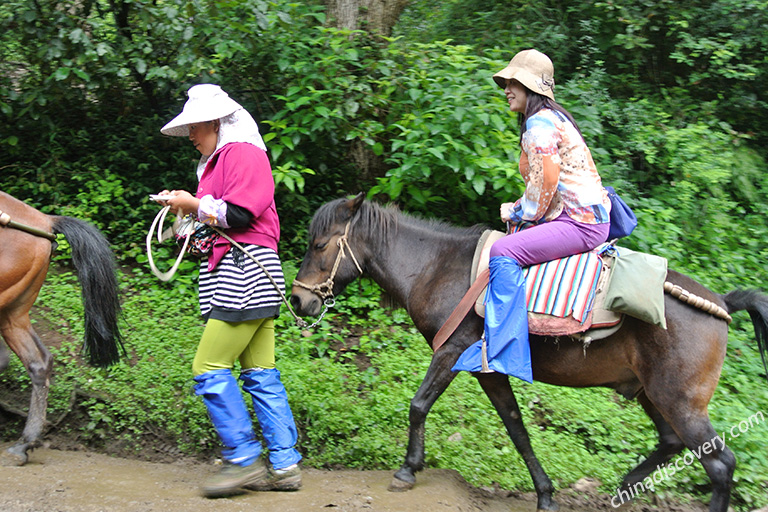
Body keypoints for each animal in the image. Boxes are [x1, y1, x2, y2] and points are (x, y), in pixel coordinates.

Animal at [292, 195, 768, 512]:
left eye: (320, 246)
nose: (298, 300)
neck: (437, 267)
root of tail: (721, 302)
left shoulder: (452, 352)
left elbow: (418, 405)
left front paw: (408, 469)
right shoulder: (488, 370)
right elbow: (517, 428)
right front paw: (545, 494)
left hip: (679, 399)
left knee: (720, 464)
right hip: (654, 393)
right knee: (671, 443)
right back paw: (622, 489)